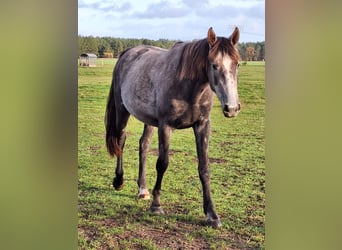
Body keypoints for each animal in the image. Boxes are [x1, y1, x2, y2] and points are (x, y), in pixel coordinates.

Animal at [105, 26, 242, 228]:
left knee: (143, 145)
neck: (189, 87)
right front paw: (156, 206)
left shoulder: (202, 126)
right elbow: (162, 164)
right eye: (213, 64)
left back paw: (142, 189)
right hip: (122, 110)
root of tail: (128, 53)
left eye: (237, 64)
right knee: (120, 140)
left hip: (149, 121)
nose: (231, 108)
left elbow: (204, 168)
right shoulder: (165, 126)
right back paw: (119, 181)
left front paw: (212, 214)